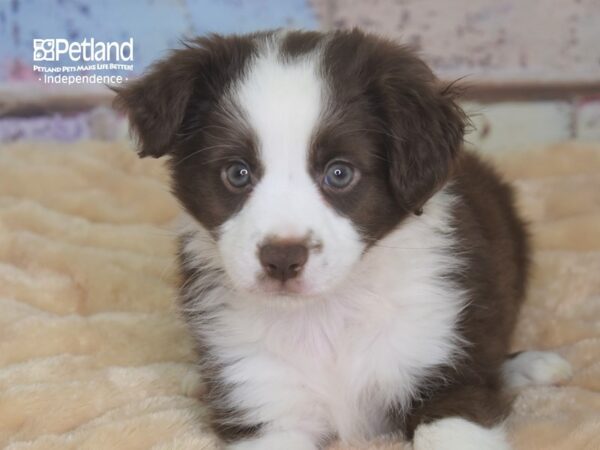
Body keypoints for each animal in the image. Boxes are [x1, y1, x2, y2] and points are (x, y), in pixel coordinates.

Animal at [116, 29, 572, 450]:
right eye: (237, 173)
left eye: (339, 173)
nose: (282, 259)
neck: (327, 316)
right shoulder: (264, 404)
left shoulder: (448, 369)